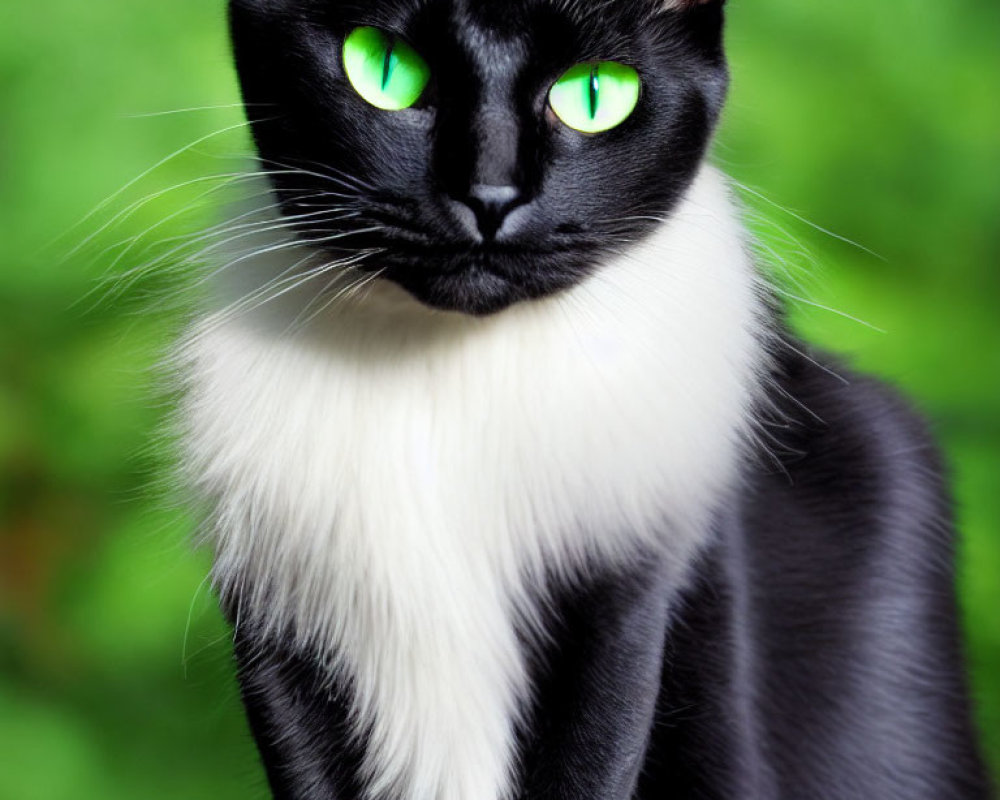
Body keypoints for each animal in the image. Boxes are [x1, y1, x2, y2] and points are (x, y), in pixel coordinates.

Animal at [176, 0, 988, 796]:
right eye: (383, 69)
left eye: (595, 96)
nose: (490, 197)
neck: (449, 381)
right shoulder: (278, 622)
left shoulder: (628, 599)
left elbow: (599, 752)